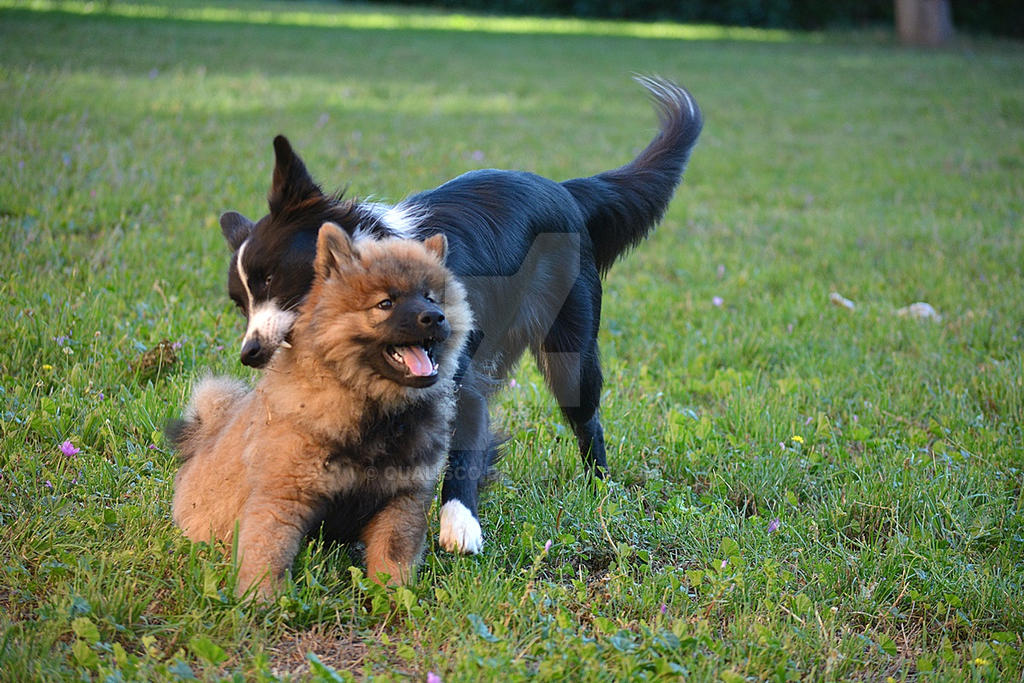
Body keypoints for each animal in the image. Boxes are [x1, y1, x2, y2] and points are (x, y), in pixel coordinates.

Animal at [168, 224, 471, 598]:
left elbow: (393, 557)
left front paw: (392, 597)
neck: (373, 408)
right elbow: (268, 553)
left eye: (431, 298)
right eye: (385, 303)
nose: (434, 317)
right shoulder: (282, 496)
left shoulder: (402, 498)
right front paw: (260, 600)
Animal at [215, 76, 696, 557]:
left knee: (586, 416)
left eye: (273, 279)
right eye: (240, 303)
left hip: (570, 346)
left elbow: (464, 442)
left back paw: (598, 488)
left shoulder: (460, 376)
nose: (249, 353)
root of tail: (565, 190)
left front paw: (459, 522)